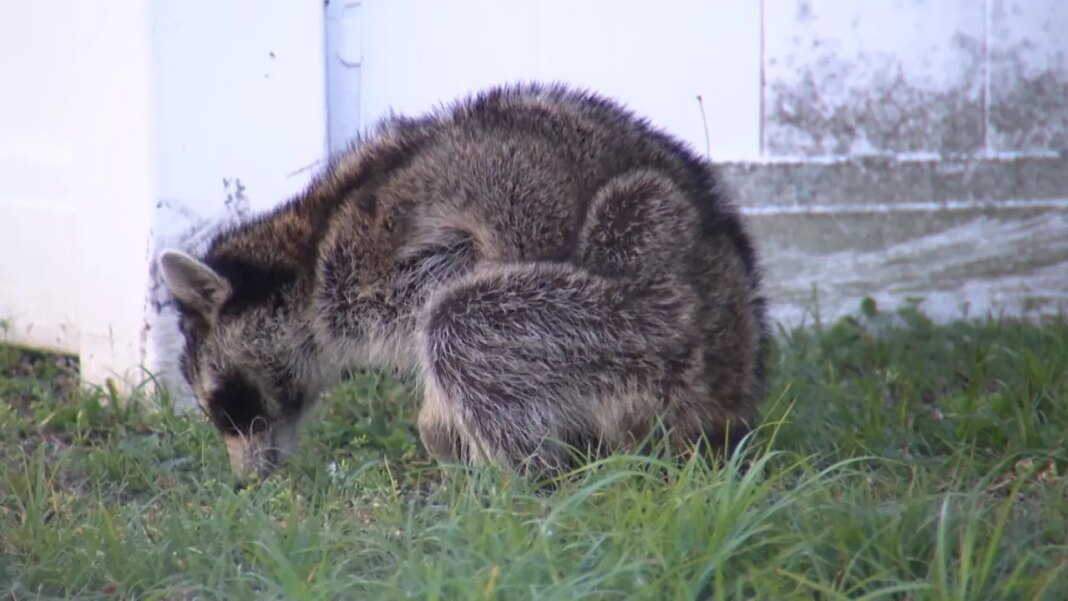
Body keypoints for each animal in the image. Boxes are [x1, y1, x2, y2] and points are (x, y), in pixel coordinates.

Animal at [158, 82, 769, 484]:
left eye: (226, 405)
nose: (244, 482)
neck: (305, 251)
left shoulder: (382, 257)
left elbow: (464, 280)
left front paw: (440, 425)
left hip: (650, 322)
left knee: (461, 324)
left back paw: (520, 487)